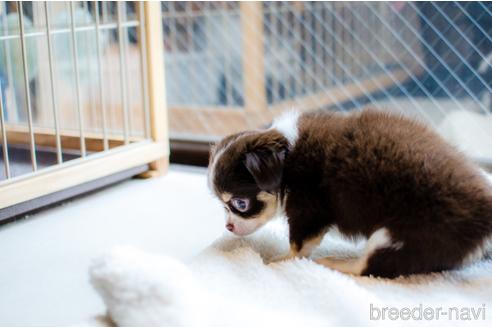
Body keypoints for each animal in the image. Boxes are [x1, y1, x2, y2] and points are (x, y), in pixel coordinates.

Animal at [208, 109, 492, 276]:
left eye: (240, 204)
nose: (228, 226)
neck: (287, 157)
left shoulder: (307, 209)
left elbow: (298, 244)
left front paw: (281, 260)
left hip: (404, 234)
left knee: (373, 266)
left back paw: (337, 263)